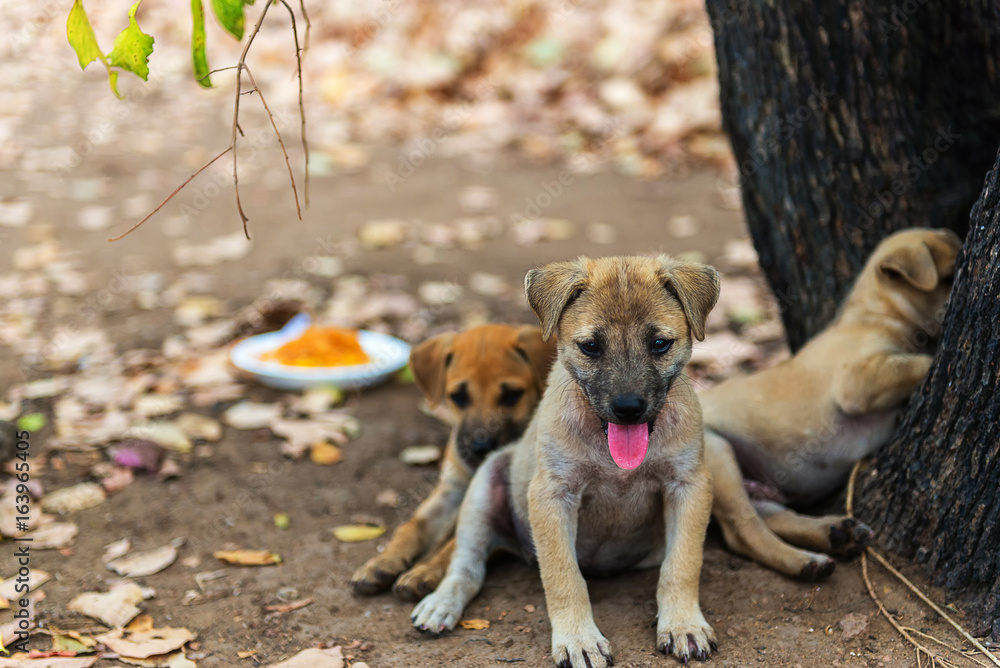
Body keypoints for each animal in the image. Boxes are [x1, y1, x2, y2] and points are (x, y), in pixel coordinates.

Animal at [350, 324, 556, 600]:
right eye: (458, 396)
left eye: (512, 395)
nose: (479, 447)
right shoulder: (451, 490)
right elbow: (412, 526)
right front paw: (383, 562)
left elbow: (455, 543)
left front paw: (424, 571)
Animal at [412, 253, 720, 664]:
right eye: (590, 346)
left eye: (659, 343)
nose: (628, 408)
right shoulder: (552, 494)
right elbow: (564, 577)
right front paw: (579, 640)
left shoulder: (688, 485)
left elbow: (682, 563)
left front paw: (683, 623)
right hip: (484, 487)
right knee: (467, 564)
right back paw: (440, 603)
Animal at [704, 227, 960, 576]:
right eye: (950, 277)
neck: (874, 317)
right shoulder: (858, 381)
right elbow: (920, 362)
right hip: (717, 454)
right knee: (743, 531)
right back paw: (803, 561)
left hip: (754, 483)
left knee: (774, 516)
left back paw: (834, 534)